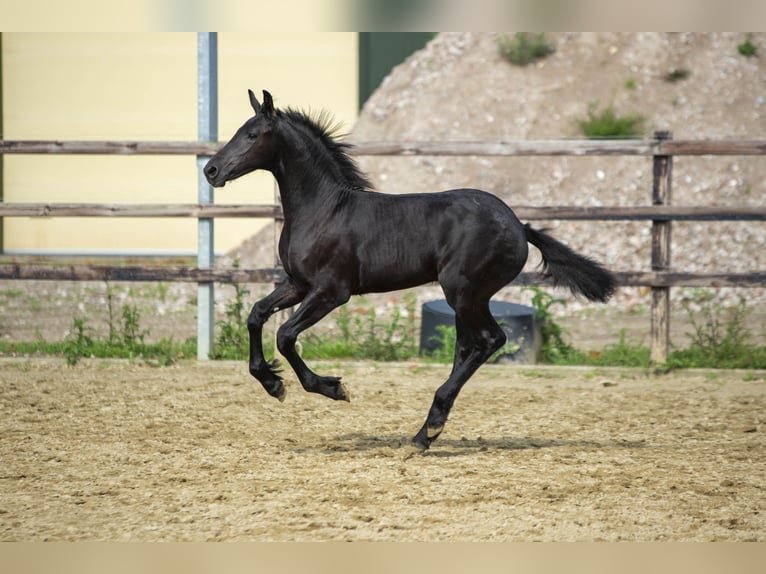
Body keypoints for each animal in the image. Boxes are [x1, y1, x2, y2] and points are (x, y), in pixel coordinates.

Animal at [204, 89, 616, 451]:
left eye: (253, 134)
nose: (211, 170)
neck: (323, 210)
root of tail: (519, 226)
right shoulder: (297, 285)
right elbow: (256, 315)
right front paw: (271, 382)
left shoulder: (332, 292)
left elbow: (286, 334)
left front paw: (332, 388)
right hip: (468, 299)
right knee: (468, 347)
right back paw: (426, 433)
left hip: (463, 292)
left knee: (490, 340)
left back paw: (427, 430)